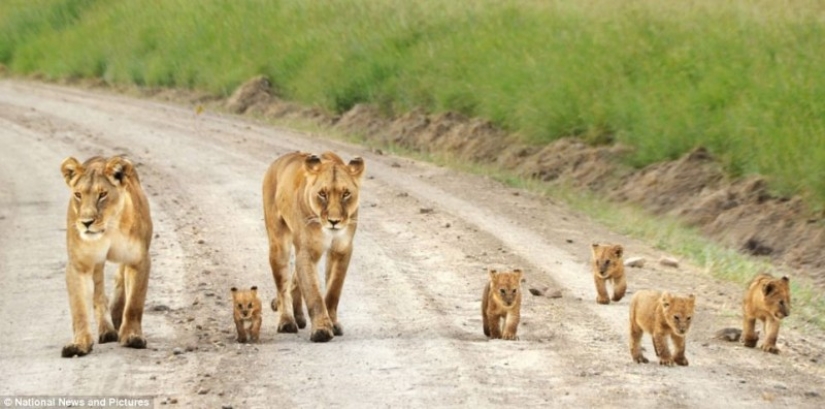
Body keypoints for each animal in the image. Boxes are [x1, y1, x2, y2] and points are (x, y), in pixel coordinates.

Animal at [59, 156, 153, 357]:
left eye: (102, 194)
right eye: (78, 194)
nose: (86, 222)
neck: (108, 229)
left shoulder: (139, 260)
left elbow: (134, 302)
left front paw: (132, 336)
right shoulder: (79, 265)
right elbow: (79, 308)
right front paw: (79, 344)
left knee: (120, 279)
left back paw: (117, 315)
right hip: (96, 264)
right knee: (98, 294)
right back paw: (107, 330)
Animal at [263, 151, 364, 342]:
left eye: (346, 194)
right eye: (322, 194)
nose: (334, 221)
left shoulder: (342, 249)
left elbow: (333, 290)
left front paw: (333, 324)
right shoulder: (306, 251)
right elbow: (313, 293)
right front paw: (322, 330)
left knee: (295, 279)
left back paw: (299, 316)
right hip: (279, 243)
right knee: (283, 285)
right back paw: (287, 321)